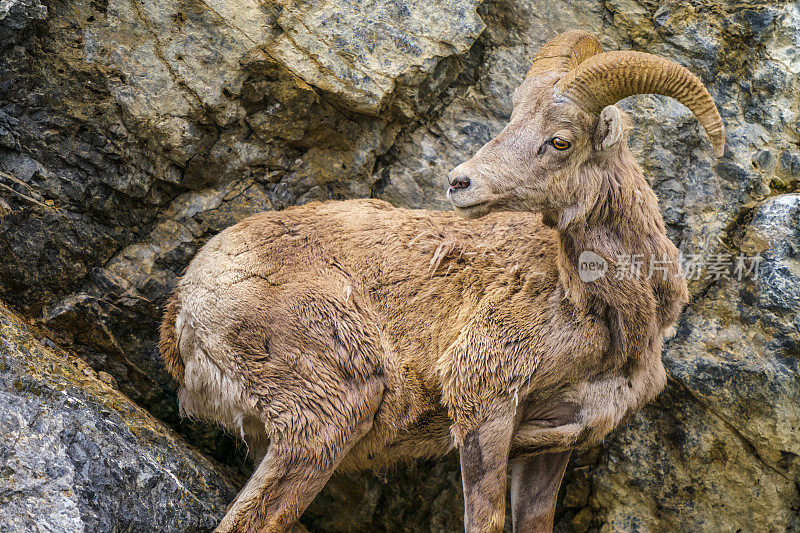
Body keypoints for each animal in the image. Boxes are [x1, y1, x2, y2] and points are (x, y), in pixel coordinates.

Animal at [159, 31, 720, 528]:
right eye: (512, 118)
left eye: (560, 140)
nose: (460, 182)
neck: (601, 314)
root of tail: (185, 309)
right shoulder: (483, 405)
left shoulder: (554, 443)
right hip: (326, 418)